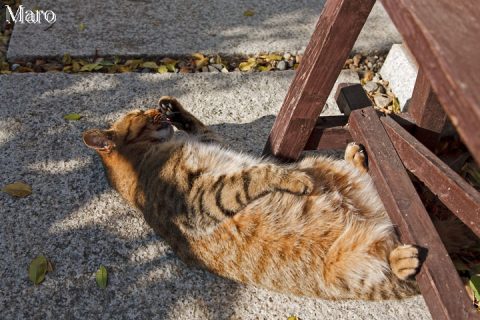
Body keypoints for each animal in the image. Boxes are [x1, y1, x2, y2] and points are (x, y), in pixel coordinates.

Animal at [84, 95, 422, 300]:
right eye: (140, 114)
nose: (155, 109)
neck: (146, 158)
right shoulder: (198, 199)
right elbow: (254, 174)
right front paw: (293, 178)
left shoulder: (210, 144)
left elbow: (203, 128)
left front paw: (174, 108)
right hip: (347, 270)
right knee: (393, 273)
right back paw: (403, 260)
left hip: (333, 169)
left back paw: (356, 158)